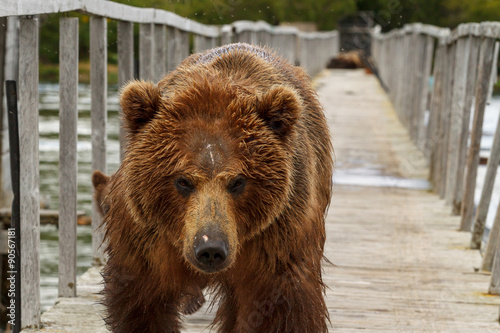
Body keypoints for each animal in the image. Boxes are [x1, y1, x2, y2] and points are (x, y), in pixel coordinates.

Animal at [102, 42, 332, 330]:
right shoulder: (147, 239)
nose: (210, 249)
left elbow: (281, 309)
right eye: (183, 181)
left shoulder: (279, 238)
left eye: (238, 181)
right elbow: (141, 303)